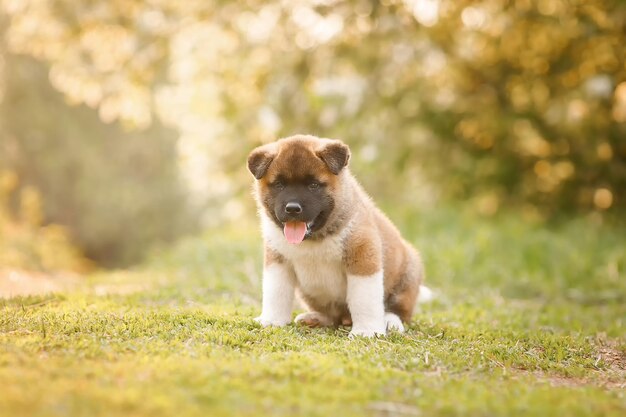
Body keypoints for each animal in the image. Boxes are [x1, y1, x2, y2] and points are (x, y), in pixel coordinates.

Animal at [246, 135, 426, 336]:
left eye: (313, 185)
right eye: (279, 185)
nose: (292, 208)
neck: (315, 238)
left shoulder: (363, 258)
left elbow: (364, 299)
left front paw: (367, 331)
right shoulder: (278, 261)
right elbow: (276, 293)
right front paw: (272, 320)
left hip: (408, 275)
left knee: (399, 311)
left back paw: (390, 321)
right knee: (332, 317)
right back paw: (314, 318)